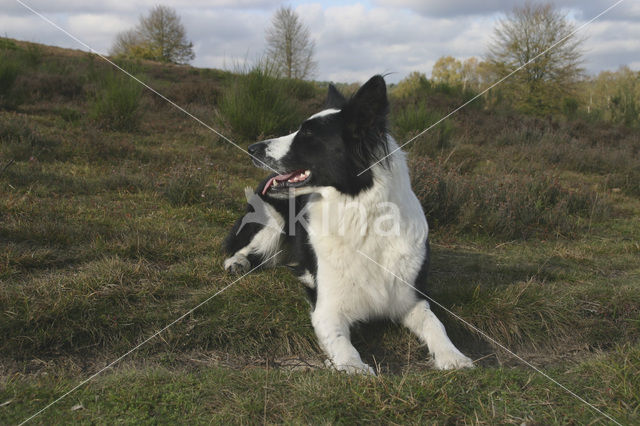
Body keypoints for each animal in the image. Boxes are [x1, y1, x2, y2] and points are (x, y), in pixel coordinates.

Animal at [222, 75, 472, 374]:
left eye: (307, 135)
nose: (251, 149)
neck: (361, 216)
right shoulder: (327, 309)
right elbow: (342, 341)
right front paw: (355, 368)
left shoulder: (412, 299)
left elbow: (436, 325)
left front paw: (454, 356)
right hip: (272, 221)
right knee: (246, 248)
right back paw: (237, 262)